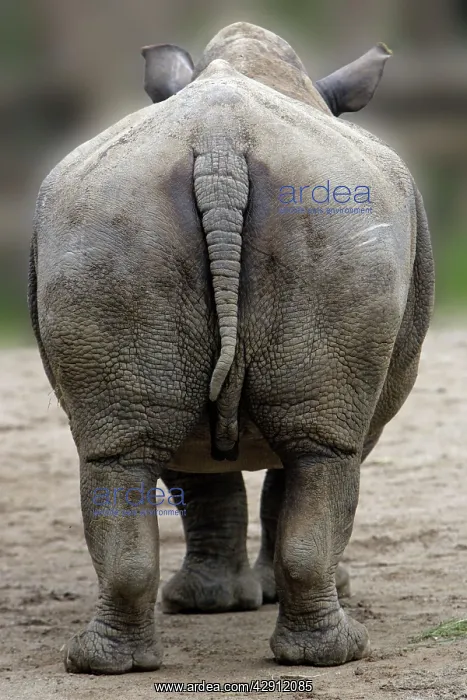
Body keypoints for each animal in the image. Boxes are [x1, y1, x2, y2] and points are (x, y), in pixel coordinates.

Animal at [28, 22, 434, 674]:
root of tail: (219, 146)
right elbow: (268, 479)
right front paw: (235, 601)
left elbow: (203, 478)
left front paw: (212, 605)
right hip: (325, 215)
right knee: (322, 453)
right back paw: (335, 653)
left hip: (111, 222)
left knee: (120, 451)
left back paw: (108, 663)